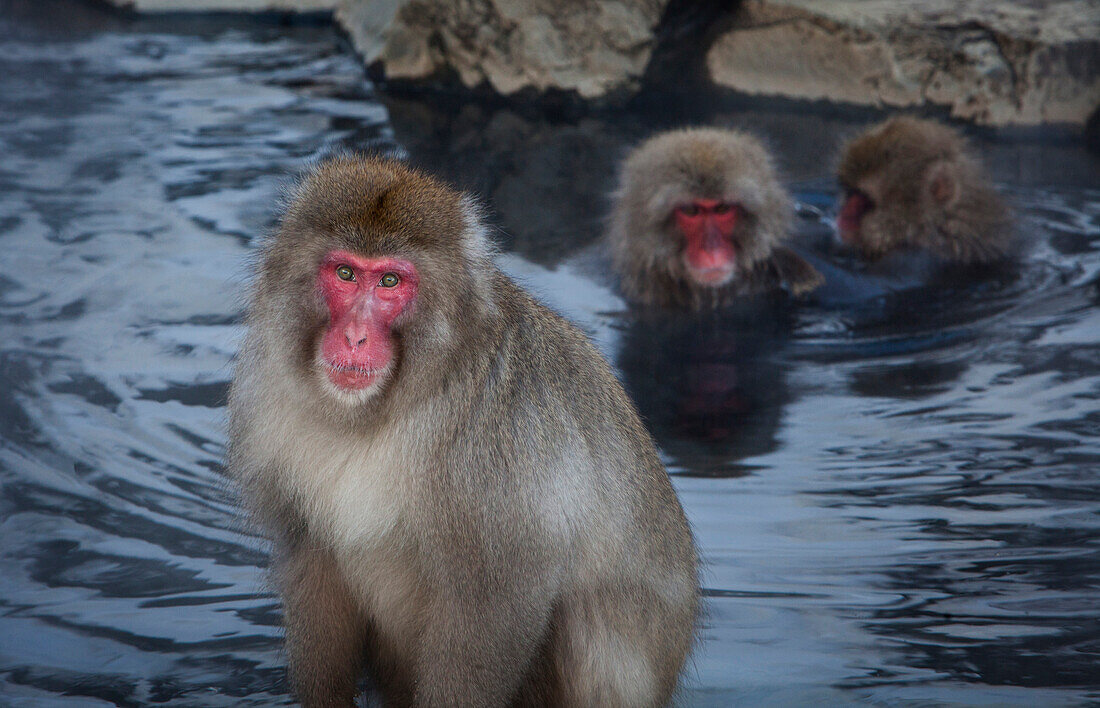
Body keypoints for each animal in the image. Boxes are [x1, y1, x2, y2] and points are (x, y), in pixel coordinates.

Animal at [225, 156, 695, 707]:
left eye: (389, 281)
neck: (384, 408)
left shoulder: (498, 440)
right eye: (344, 273)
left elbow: (497, 604)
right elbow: (312, 565)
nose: (354, 336)